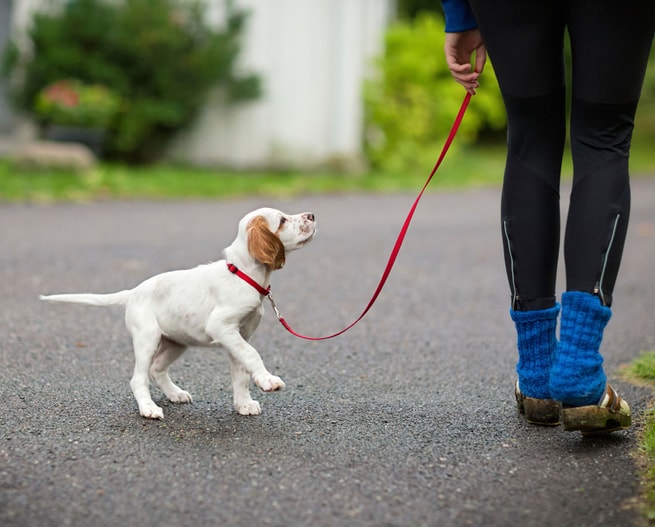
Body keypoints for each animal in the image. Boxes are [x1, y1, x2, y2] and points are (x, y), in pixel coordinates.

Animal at [41, 208, 318, 418]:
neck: (242, 275)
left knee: (157, 369)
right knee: (138, 378)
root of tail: (133, 292)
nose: (312, 215)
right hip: (147, 339)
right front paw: (268, 381)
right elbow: (252, 355)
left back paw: (175, 393)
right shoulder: (221, 327)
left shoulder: (239, 336)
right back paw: (149, 408)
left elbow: (241, 372)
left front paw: (243, 404)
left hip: (176, 342)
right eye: (282, 220)